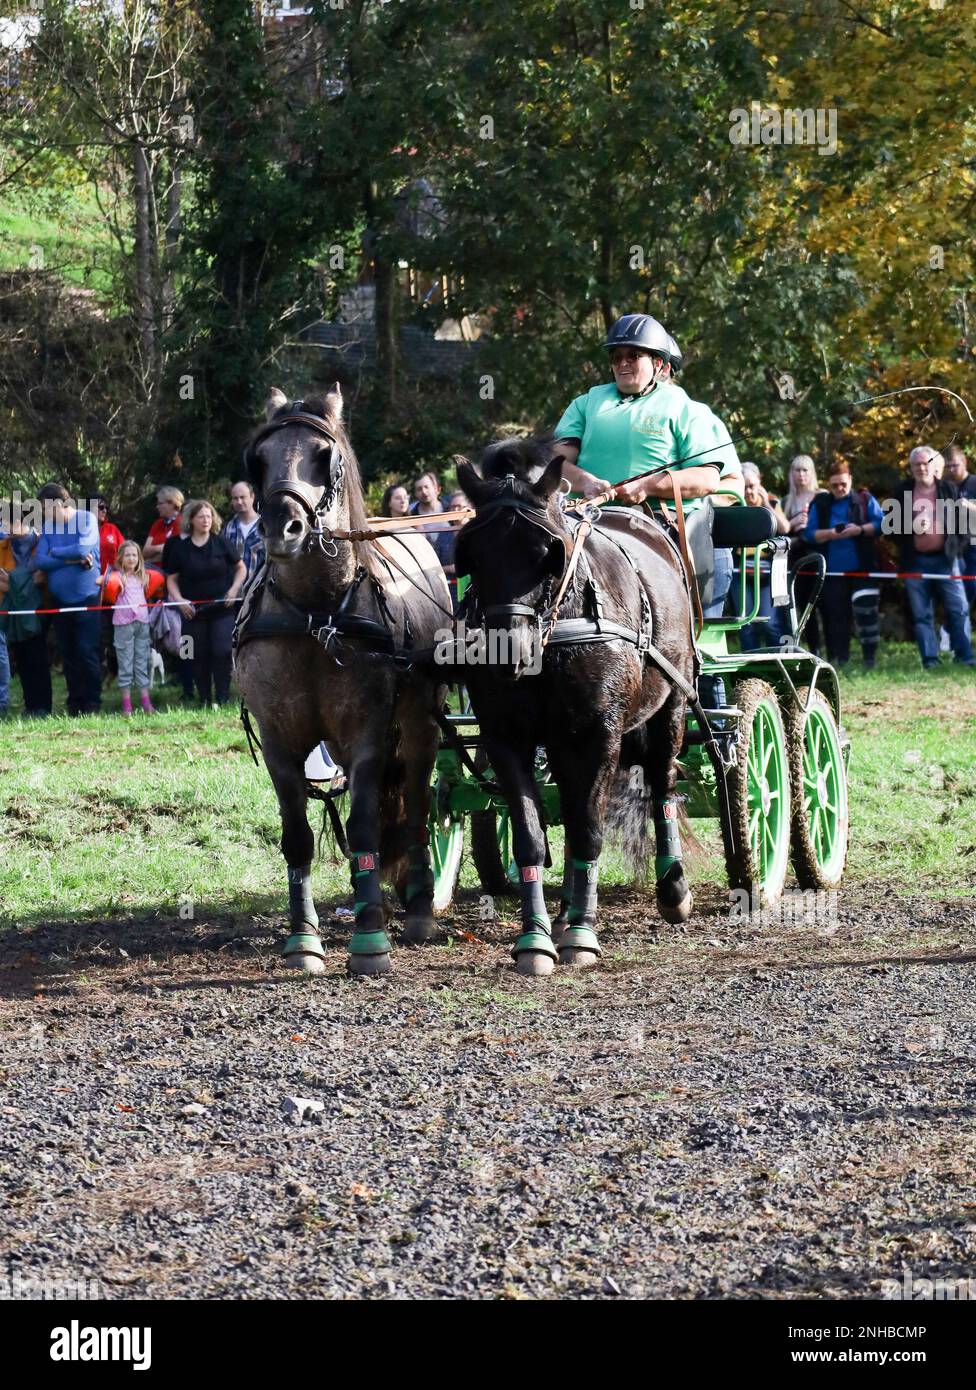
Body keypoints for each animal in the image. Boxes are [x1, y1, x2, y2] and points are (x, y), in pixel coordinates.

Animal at [234, 386, 451, 976]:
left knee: (418, 806)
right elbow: (297, 837)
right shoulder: (280, 742)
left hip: (420, 725)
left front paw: (370, 938)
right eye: (259, 459)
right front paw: (303, 940)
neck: (316, 615)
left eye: (322, 456)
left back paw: (418, 909)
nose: (281, 528)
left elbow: (364, 829)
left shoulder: (367, 735)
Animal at [454, 437, 698, 976]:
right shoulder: (507, 738)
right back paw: (565, 911)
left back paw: (671, 887)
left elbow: (588, 830)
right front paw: (535, 938)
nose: (508, 652)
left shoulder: (598, 735)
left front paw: (583, 935)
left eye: (548, 553)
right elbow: (532, 834)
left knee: (662, 782)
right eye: (472, 556)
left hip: (672, 701)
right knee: (567, 804)